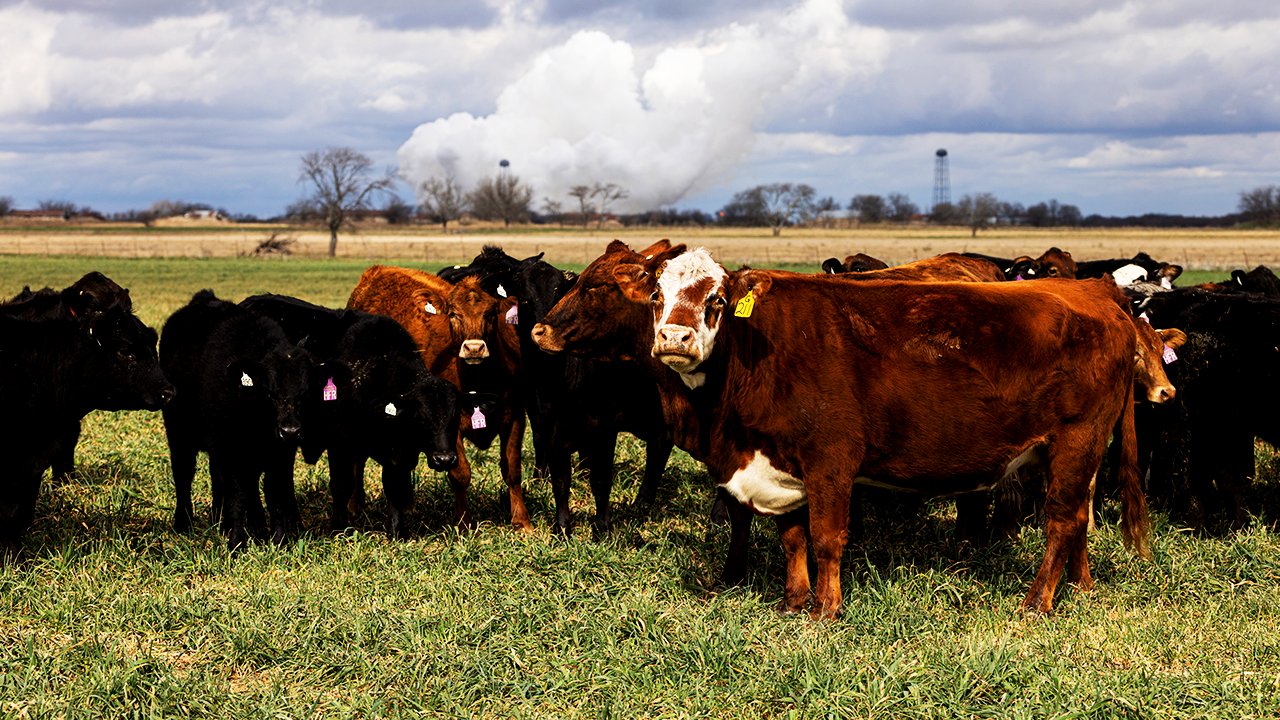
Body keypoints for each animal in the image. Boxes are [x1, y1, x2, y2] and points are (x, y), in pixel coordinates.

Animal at [160, 290, 313, 550]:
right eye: (269, 392)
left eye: (304, 392)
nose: (290, 430)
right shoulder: (231, 448)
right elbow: (237, 492)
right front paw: (237, 542)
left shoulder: (281, 453)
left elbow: (274, 492)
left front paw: (278, 539)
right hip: (179, 432)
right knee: (184, 473)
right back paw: (184, 523)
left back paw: (230, 523)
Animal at [239, 294, 461, 538]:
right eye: (421, 416)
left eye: (455, 416)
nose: (444, 459)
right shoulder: (340, 444)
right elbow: (342, 486)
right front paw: (338, 527)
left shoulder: (397, 453)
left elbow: (394, 487)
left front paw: (398, 531)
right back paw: (258, 526)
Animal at [348, 266, 528, 530]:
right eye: (454, 314)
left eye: (491, 312)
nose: (474, 348)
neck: (480, 381)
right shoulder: (451, 428)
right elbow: (460, 474)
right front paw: (463, 523)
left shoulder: (514, 417)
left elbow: (512, 471)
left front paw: (522, 521)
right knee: (358, 456)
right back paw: (355, 504)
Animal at [602, 247, 1149, 618]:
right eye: (656, 295)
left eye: (716, 299)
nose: (674, 338)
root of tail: (1096, 290)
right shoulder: (780, 463)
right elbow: (792, 538)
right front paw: (793, 601)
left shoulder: (830, 460)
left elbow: (826, 537)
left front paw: (825, 609)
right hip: (1076, 453)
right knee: (1079, 517)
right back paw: (1080, 587)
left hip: (1077, 441)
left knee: (1061, 521)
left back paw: (1037, 602)